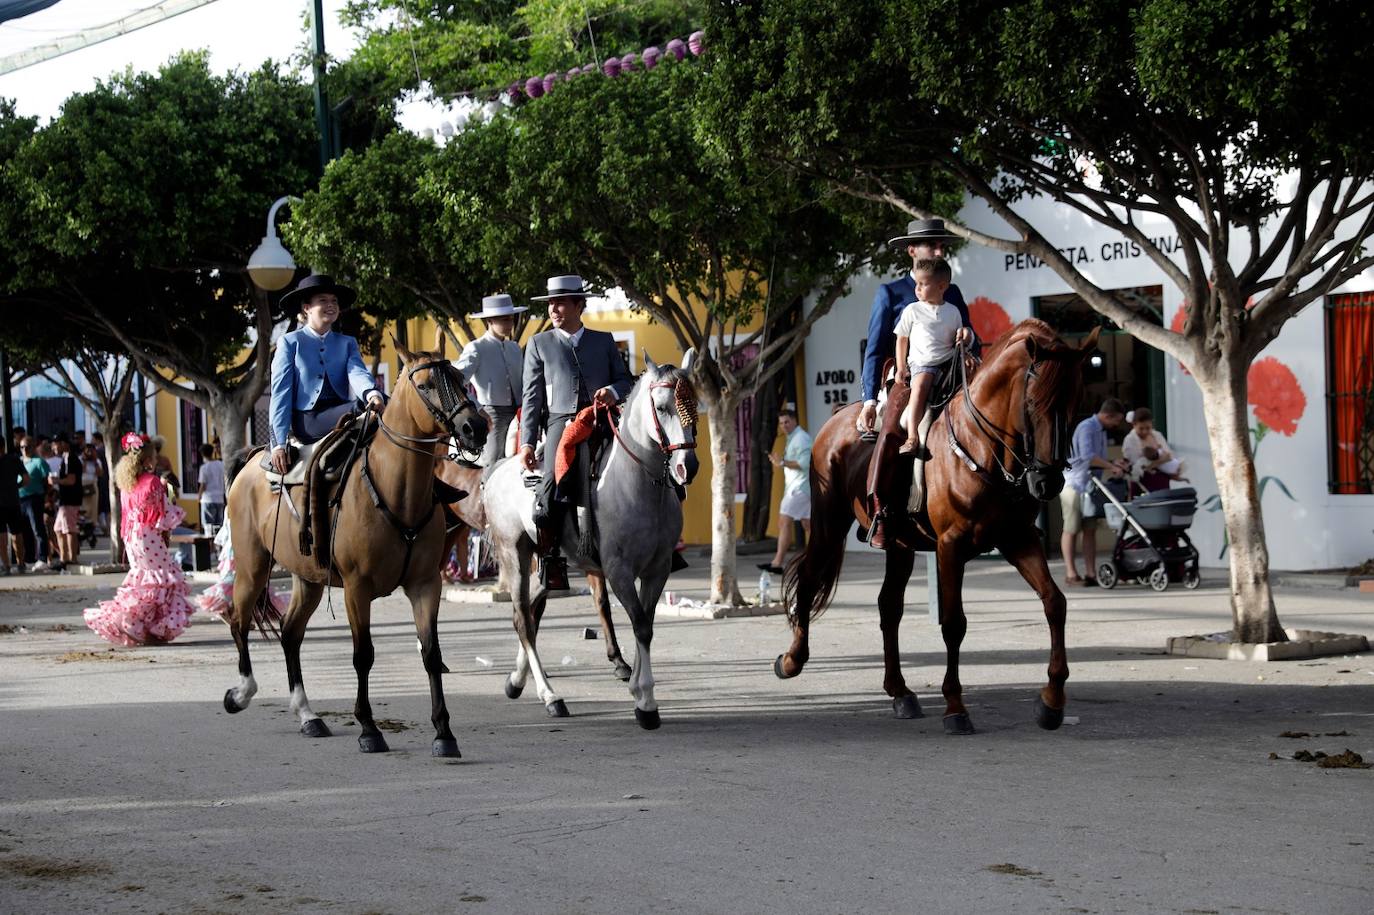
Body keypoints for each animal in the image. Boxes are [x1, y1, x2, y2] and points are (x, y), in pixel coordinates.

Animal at [221, 343, 489, 752]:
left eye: (461, 379)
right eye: (426, 385)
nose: (475, 427)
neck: (396, 490)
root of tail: (252, 459)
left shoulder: (426, 584)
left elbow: (431, 654)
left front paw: (444, 732)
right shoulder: (356, 588)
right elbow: (363, 655)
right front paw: (369, 728)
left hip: (308, 578)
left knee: (290, 633)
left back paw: (308, 715)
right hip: (252, 566)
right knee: (239, 621)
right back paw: (241, 693)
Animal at [483, 357, 697, 725]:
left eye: (694, 404)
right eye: (661, 407)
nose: (688, 466)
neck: (637, 484)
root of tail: (500, 468)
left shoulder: (657, 569)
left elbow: (647, 625)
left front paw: (638, 689)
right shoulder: (618, 570)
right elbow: (640, 624)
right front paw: (645, 701)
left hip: (547, 563)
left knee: (532, 613)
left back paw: (517, 680)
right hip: (514, 553)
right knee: (523, 619)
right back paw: (550, 696)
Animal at [780, 320, 1099, 736]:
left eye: (1077, 405)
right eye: (1032, 404)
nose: (1047, 482)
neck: (980, 446)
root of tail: (835, 419)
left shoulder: (1017, 538)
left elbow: (1054, 602)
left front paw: (1052, 701)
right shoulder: (952, 546)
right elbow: (953, 623)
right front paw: (955, 707)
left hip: (899, 544)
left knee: (889, 606)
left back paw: (900, 692)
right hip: (828, 523)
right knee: (808, 577)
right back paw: (792, 659)